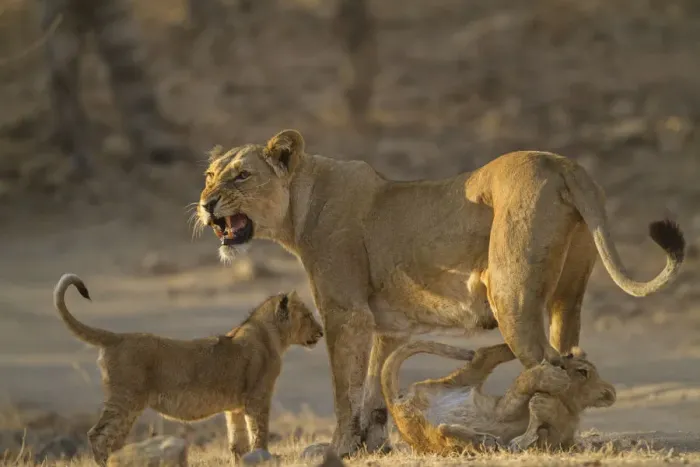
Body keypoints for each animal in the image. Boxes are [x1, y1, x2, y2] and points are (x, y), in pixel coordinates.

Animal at [53, 273, 324, 466]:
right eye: (308, 315)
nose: (321, 332)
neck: (271, 335)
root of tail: (117, 337)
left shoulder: (235, 407)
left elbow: (238, 442)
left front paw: (244, 460)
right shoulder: (257, 398)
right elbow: (259, 433)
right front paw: (264, 456)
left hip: (129, 405)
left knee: (114, 439)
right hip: (125, 399)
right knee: (97, 434)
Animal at [381, 340, 615, 455]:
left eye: (583, 372)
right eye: (572, 360)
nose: (563, 361)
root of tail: (395, 402)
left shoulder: (545, 438)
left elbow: (542, 426)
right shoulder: (504, 410)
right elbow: (527, 390)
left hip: (430, 430)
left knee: (443, 431)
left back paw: (484, 441)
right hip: (464, 382)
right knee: (483, 354)